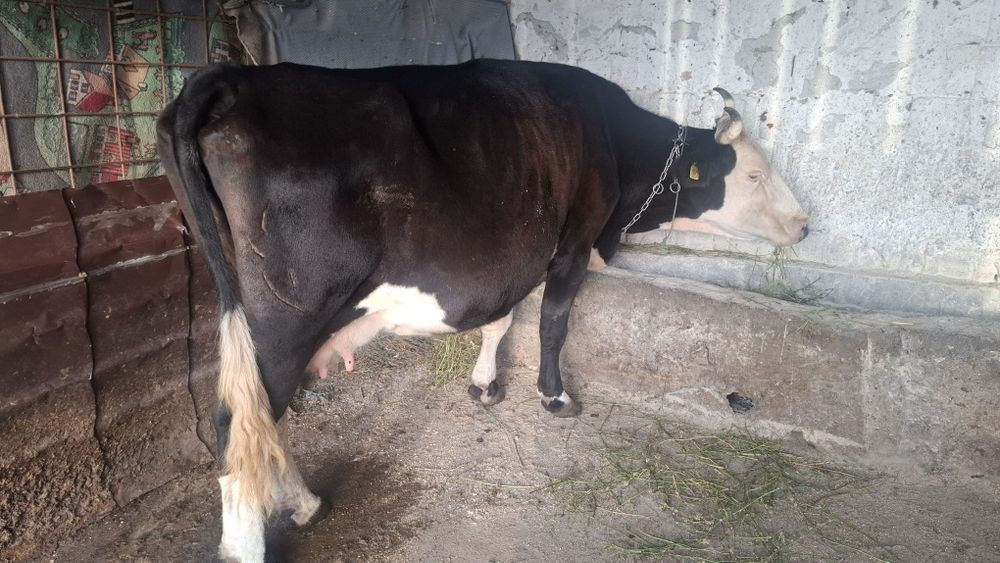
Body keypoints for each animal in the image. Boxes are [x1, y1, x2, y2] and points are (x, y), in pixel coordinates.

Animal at [155, 59, 808, 562]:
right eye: (755, 174)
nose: (805, 225)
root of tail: (227, 78)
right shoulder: (572, 241)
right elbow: (553, 322)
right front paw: (554, 396)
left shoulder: (512, 259)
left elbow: (501, 319)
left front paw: (485, 384)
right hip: (286, 317)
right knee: (237, 421)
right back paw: (254, 539)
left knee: (260, 417)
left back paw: (307, 503)